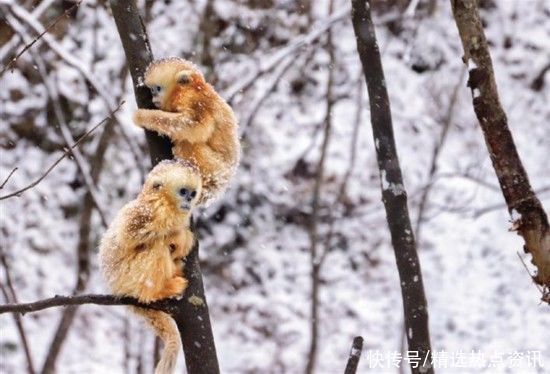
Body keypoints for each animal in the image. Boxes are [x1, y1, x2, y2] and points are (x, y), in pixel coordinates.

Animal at [99, 160, 203, 374]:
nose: (189, 201)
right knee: (157, 245)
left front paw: (181, 240)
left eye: (192, 193)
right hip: (129, 277)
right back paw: (159, 290)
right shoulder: (147, 214)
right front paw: (177, 236)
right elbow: (130, 235)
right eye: (183, 192)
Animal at [134, 57, 242, 206]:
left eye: (158, 88)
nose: (154, 97)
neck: (195, 87)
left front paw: (143, 116)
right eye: (151, 89)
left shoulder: (196, 101)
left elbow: (197, 127)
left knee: (187, 142)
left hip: (215, 169)